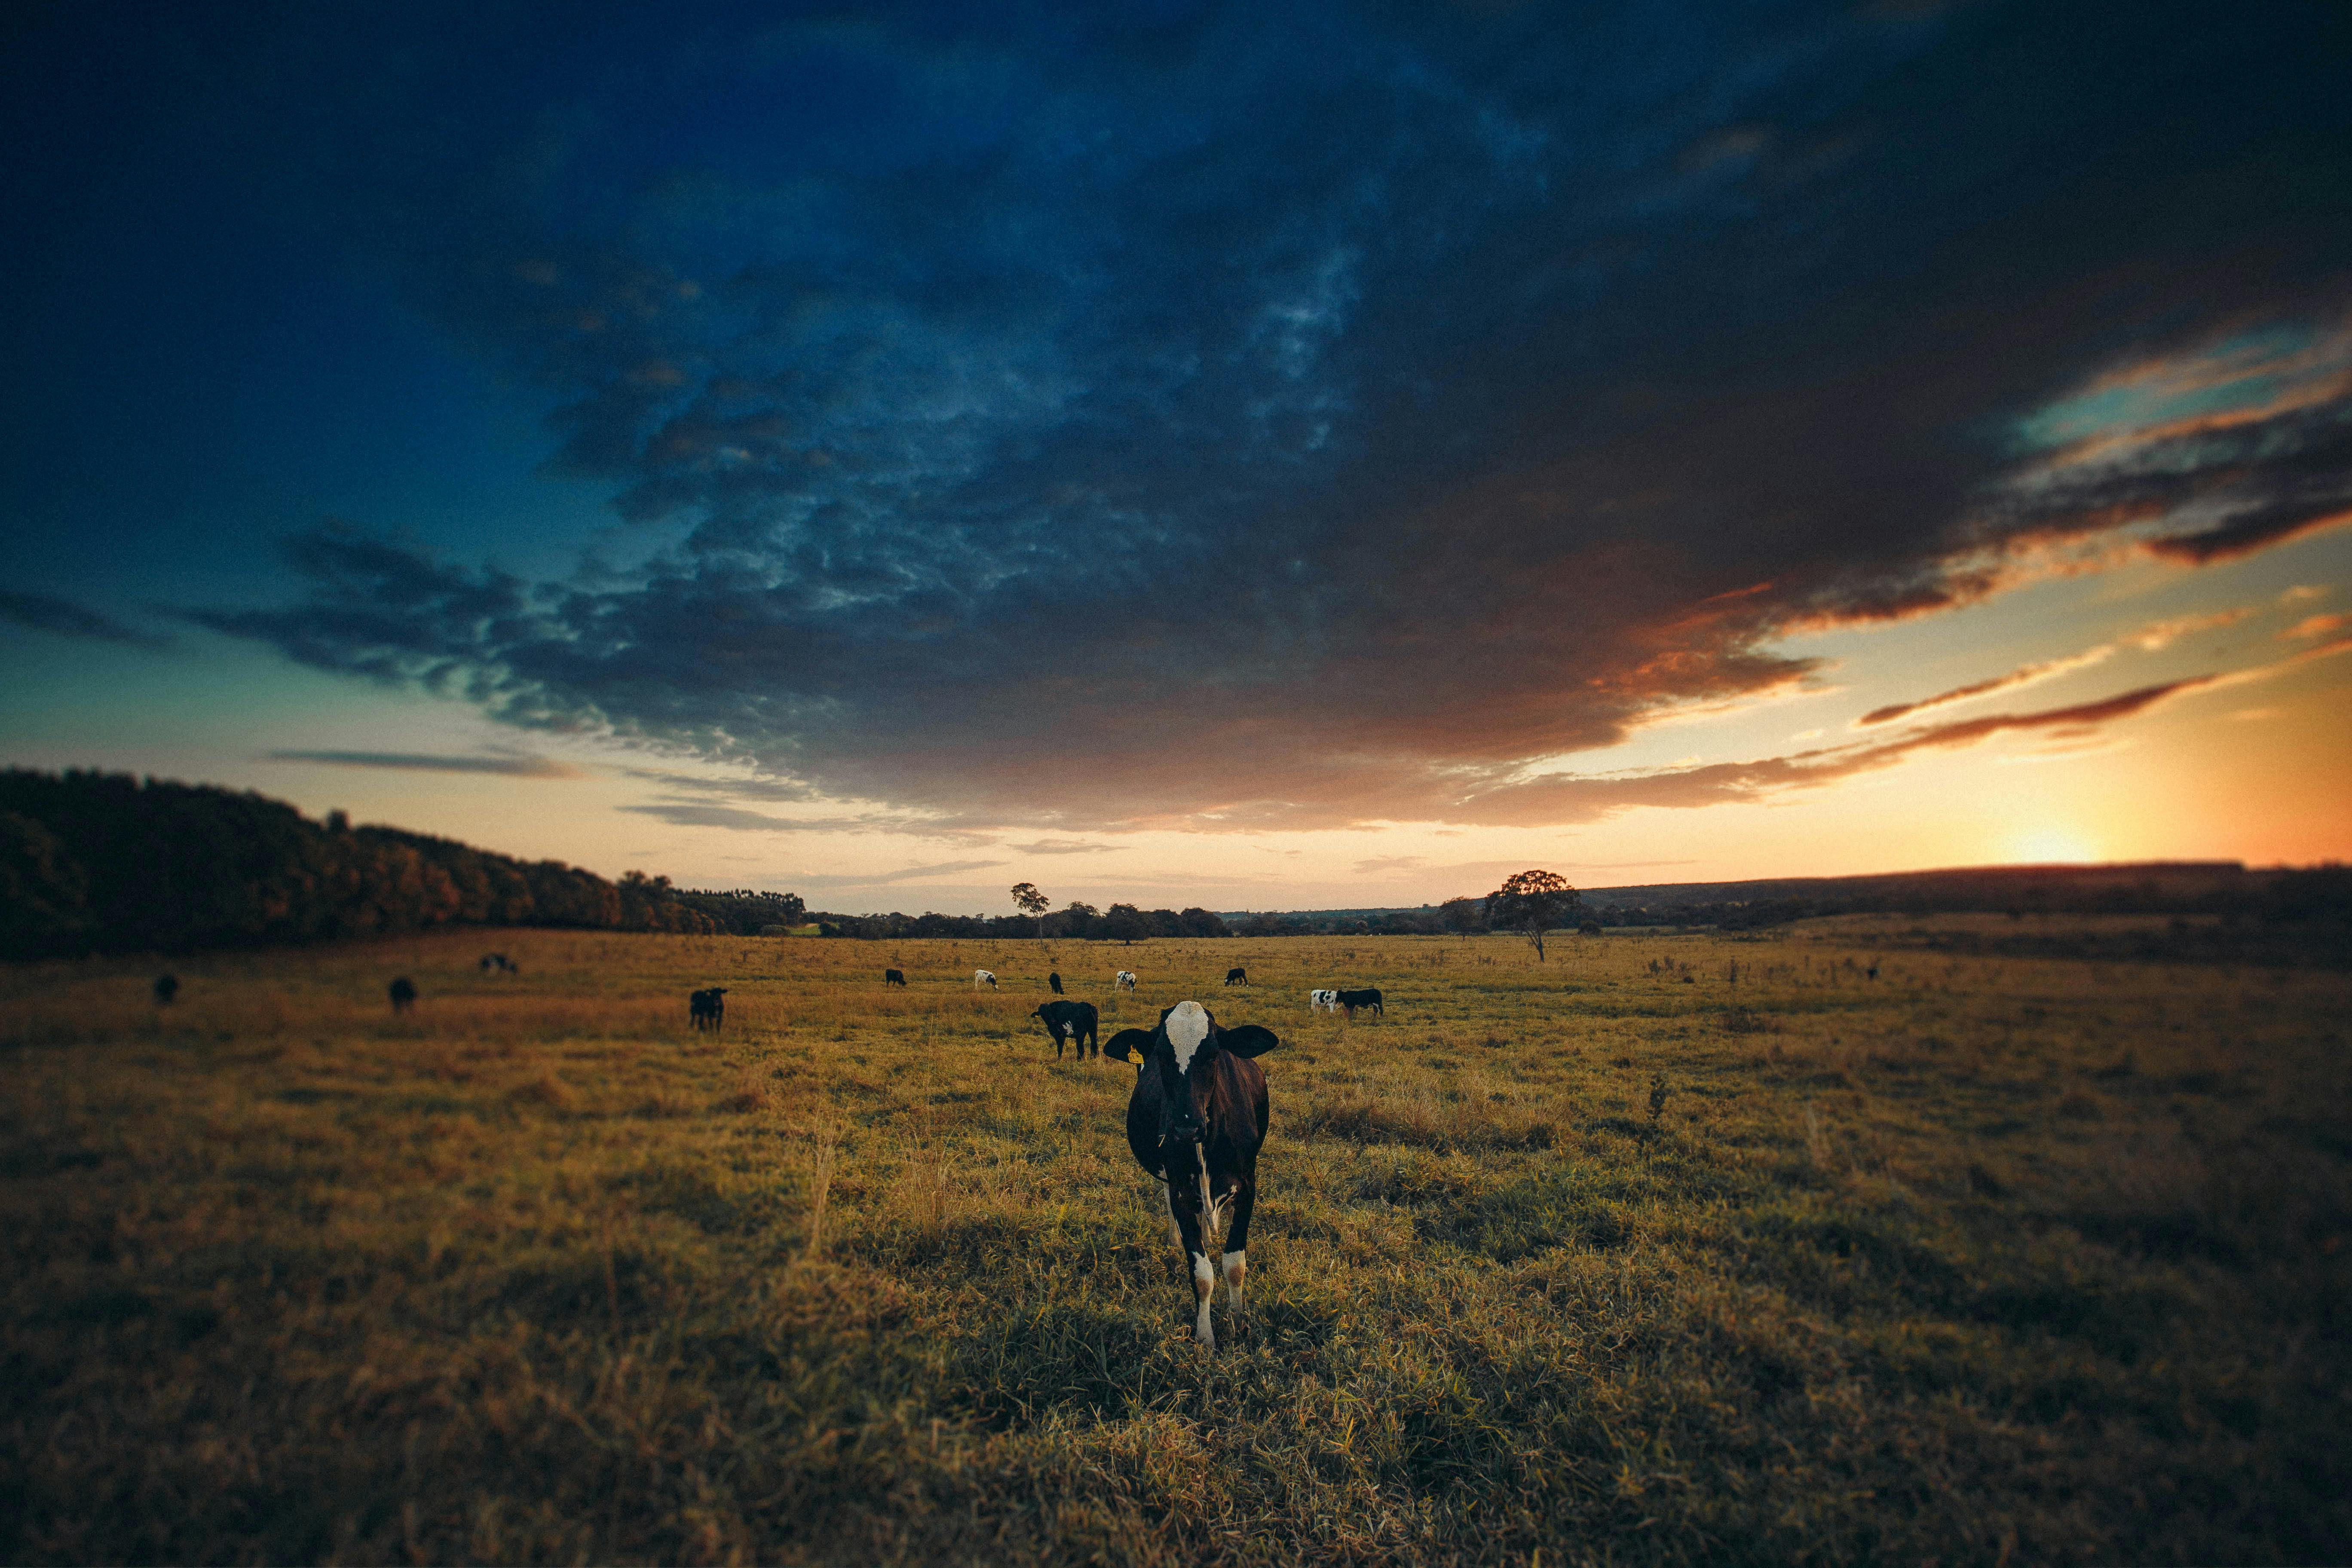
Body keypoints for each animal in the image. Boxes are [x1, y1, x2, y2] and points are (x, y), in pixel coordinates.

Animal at [1030, 1001, 1100, 1063]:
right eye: (1042, 1013)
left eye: (1050, 1011)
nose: (1052, 1020)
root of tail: (1089, 1006)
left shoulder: (1059, 1036)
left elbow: (1060, 1048)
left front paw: (1059, 1060)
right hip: (1092, 1029)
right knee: (1093, 1042)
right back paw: (1094, 1057)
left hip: (1082, 1033)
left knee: (1081, 1047)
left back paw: (1080, 1059)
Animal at [1110, 1006, 1279, 1354]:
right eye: (1161, 1055)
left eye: (1213, 1054)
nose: (1186, 1128)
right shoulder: (1181, 1192)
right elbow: (1202, 1273)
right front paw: (1205, 1338)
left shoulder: (1249, 1187)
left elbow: (1235, 1264)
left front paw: (1239, 1322)